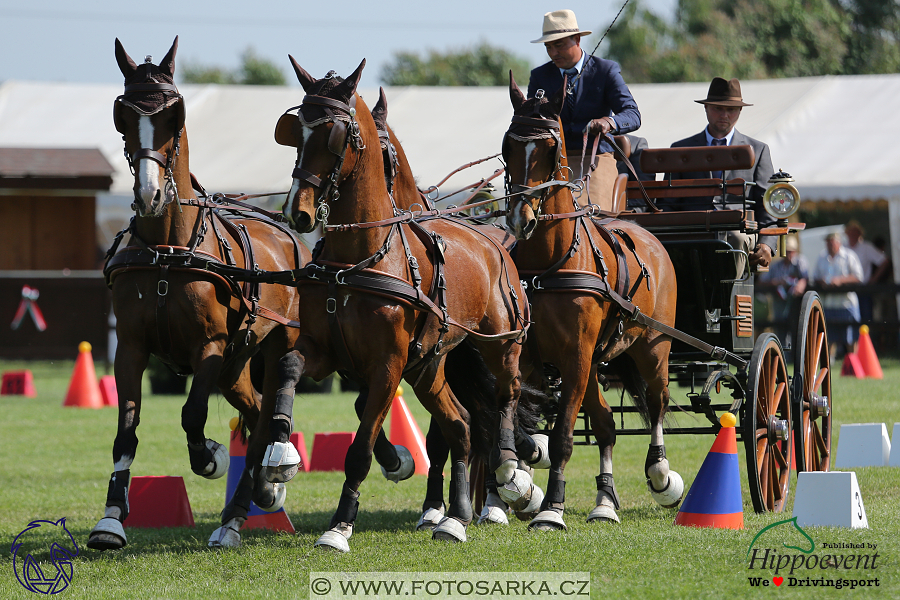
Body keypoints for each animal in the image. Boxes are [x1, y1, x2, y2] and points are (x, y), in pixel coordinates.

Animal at [88, 38, 312, 552]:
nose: (149, 195)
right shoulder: (131, 348)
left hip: (273, 342)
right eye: (124, 117)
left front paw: (211, 457)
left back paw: (256, 489)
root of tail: (290, 234)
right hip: (235, 364)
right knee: (255, 411)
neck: (168, 250)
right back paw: (254, 497)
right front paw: (110, 521)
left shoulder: (209, 346)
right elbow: (125, 431)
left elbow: (192, 415)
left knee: (273, 402)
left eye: (174, 118)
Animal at [268, 58, 544, 552]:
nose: (298, 212)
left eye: (335, 134)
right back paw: (456, 516)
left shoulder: (387, 365)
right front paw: (280, 452)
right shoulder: (328, 351)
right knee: (462, 425)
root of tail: (495, 239)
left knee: (505, 396)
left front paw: (340, 525)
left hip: (499, 343)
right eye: (295, 131)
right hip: (429, 367)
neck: (360, 256)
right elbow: (289, 367)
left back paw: (511, 472)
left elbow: (360, 447)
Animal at [500, 74, 684, 528]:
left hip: (652, 348)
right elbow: (519, 417)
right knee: (605, 425)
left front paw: (551, 507)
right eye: (508, 146)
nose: (520, 219)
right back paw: (604, 502)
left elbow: (563, 435)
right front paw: (518, 478)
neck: (549, 263)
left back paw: (661, 474)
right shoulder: (531, 358)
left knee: (657, 401)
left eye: (550, 148)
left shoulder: (576, 355)